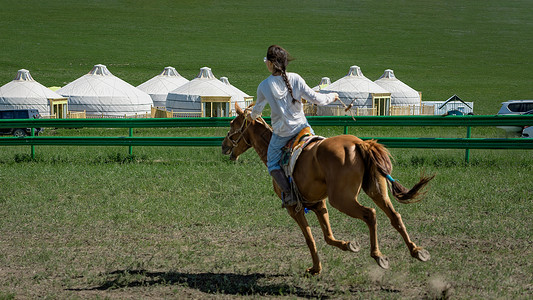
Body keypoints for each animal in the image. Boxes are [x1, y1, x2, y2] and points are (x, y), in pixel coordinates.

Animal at [222, 103, 434, 274]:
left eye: (232, 124)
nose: (224, 146)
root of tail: (359, 143)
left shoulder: (294, 208)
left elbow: (309, 238)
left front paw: (316, 268)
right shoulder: (318, 204)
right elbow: (327, 236)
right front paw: (347, 245)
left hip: (342, 199)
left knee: (370, 214)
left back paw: (378, 255)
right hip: (377, 191)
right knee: (394, 216)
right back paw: (417, 251)